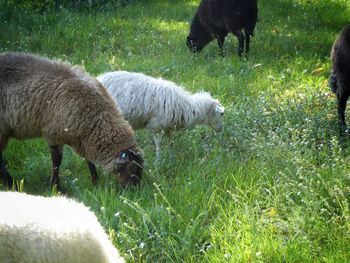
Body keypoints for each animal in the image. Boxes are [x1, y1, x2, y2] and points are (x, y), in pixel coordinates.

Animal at [0, 52, 144, 190]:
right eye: (132, 168)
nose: (134, 190)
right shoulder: (54, 134)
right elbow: (57, 162)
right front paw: (56, 187)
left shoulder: (83, 138)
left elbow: (89, 160)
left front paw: (95, 182)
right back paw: (11, 183)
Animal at [97, 70, 226, 161]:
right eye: (221, 114)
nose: (221, 129)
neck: (186, 106)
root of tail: (99, 78)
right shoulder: (156, 125)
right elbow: (158, 143)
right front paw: (158, 161)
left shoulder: (168, 126)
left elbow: (170, 141)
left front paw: (171, 156)